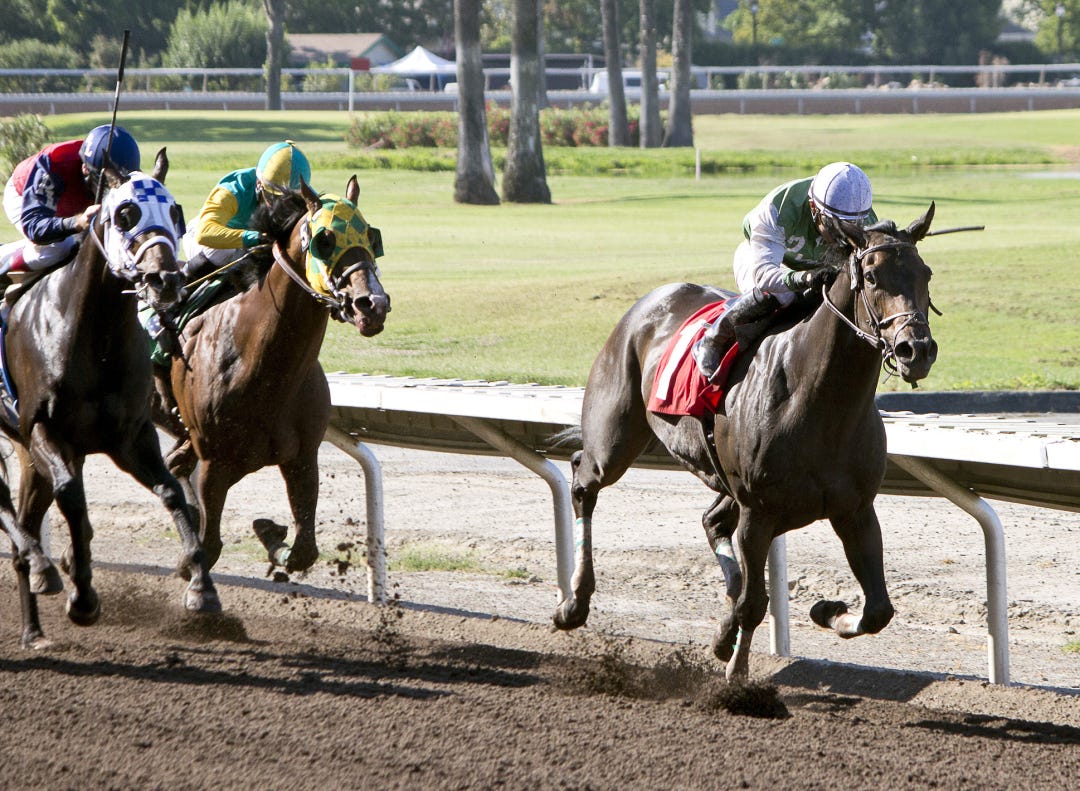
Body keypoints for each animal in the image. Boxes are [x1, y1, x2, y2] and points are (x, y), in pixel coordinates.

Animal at [0, 149, 220, 648]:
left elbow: (172, 492)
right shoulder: (42, 428)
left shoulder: (130, 436)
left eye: (175, 212)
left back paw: (33, 628)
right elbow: (72, 498)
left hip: (27, 455)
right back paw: (40, 564)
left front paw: (201, 587)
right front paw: (82, 596)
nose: (165, 280)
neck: (93, 332)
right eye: (125, 214)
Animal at [153, 176, 389, 575]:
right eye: (324, 239)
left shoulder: (303, 458)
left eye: (372, 237)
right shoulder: (215, 464)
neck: (263, 369)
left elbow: (304, 550)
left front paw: (270, 531)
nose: (372, 305)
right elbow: (211, 546)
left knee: (174, 465)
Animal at [553, 205, 939, 680]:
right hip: (614, 439)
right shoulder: (760, 511)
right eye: (870, 276)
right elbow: (755, 603)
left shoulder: (855, 510)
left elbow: (879, 610)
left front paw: (827, 610)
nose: (915, 350)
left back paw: (723, 633)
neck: (822, 402)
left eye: (925, 273)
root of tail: (649, 302)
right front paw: (737, 679)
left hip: (724, 478)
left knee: (713, 522)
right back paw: (573, 604)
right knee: (582, 478)